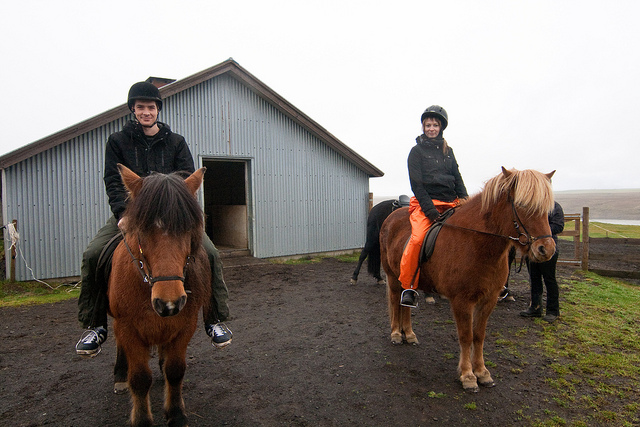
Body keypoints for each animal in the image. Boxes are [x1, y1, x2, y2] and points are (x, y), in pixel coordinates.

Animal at [108, 164, 211, 427]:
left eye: (188, 228)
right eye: (142, 230)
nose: (169, 303)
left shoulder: (185, 325)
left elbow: (175, 371)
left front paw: (176, 414)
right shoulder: (128, 328)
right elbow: (139, 378)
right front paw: (142, 419)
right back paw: (120, 375)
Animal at [379, 167, 556, 392]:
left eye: (547, 209)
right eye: (522, 204)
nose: (546, 249)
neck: (476, 243)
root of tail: (391, 217)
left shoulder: (488, 300)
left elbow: (479, 336)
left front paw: (482, 372)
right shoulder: (462, 301)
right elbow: (466, 336)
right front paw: (467, 376)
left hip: (408, 281)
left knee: (406, 305)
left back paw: (409, 334)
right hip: (393, 277)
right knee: (395, 301)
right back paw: (396, 333)